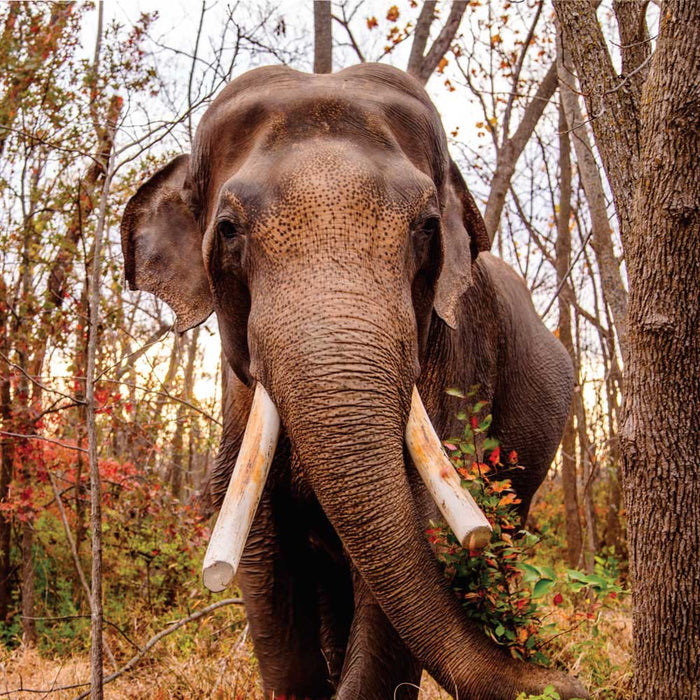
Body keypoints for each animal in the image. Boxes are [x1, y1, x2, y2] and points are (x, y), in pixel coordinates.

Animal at [120, 64, 585, 699]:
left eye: (426, 227)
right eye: (231, 230)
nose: (567, 683)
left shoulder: (459, 361)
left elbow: (414, 539)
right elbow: (266, 567)